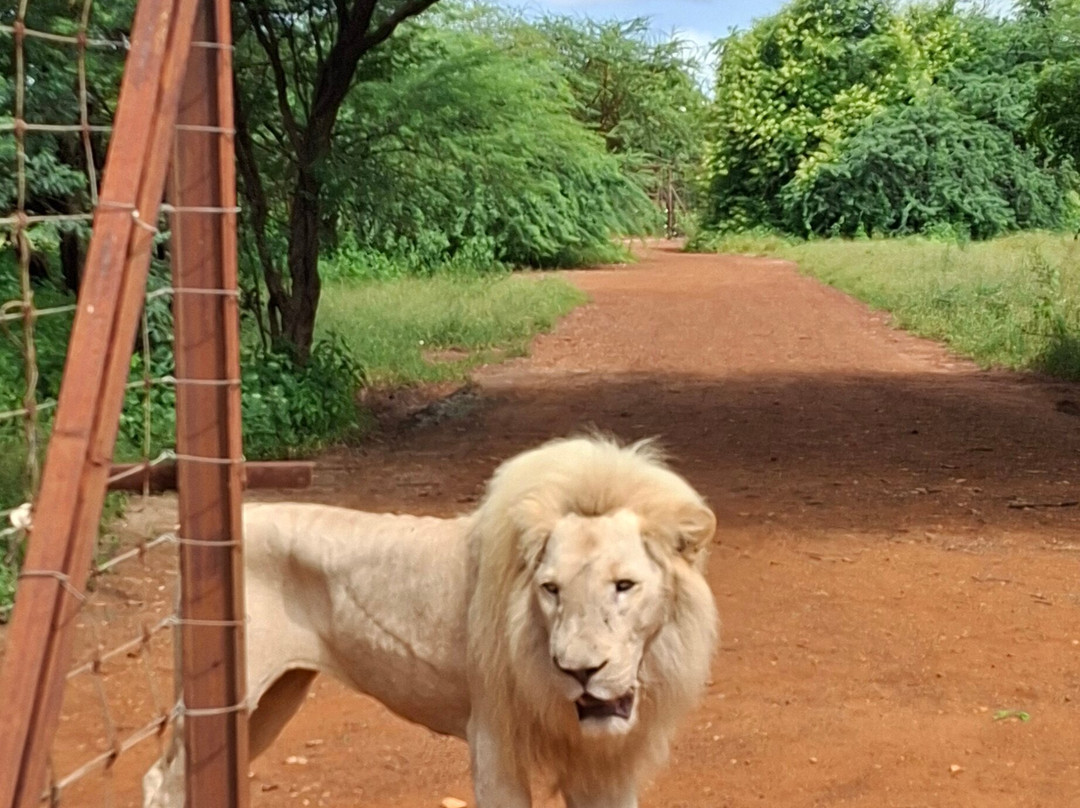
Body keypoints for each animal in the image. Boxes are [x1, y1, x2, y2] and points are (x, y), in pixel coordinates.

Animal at [144, 436, 718, 808]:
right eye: (550, 589)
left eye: (624, 586)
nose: (578, 671)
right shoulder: (493, 741)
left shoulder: (602, 763)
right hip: (230, 697)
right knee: (161, 783)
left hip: (272, 701)